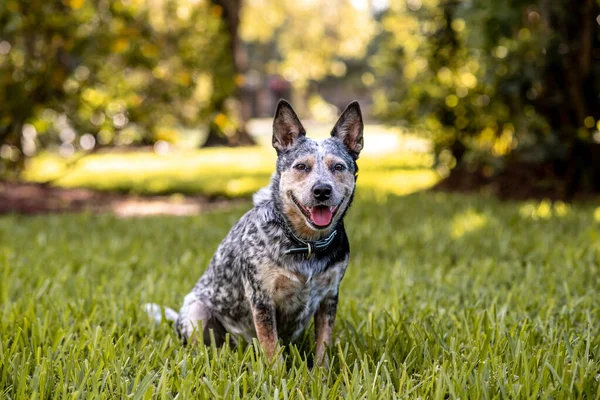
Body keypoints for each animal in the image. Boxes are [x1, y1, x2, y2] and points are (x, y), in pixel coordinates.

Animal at [148, 100, 364, 366]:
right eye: (301, 166)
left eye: (338, 167)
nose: (322, 190)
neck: (305, 243)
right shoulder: (262, 298)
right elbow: (271, 349)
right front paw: (276, 375)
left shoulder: (329, 297)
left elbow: (323, 346)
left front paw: (321, 374)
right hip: (196, 310)